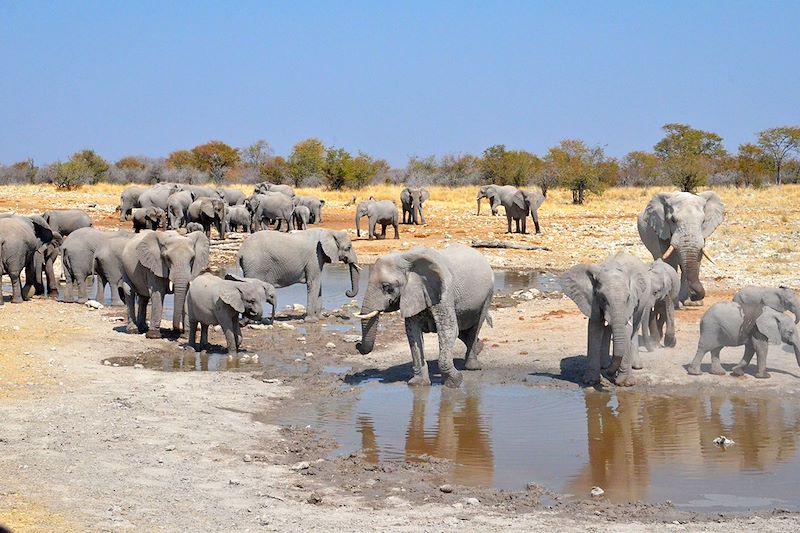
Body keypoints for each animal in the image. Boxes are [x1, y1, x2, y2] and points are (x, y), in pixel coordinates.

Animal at [354, 244, 494, 386]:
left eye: (387, 287)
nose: (357, 345)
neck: (407, 258)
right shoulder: (413, 293)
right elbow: (413, 333)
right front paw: (418, 384)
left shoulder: (444, 292)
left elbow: (448, 330)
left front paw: (454, 382)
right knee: (462, 328)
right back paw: (479, 347)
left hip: (488, 294)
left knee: (475, 326)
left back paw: (473, 366)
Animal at [560, 251, 652, 384]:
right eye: (603, 298)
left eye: (628, 298)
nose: (609, 373)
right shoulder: (592, 300)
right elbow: (594, 327)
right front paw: (590, 381)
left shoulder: (631, 302)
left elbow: (626, 329)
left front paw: (624, 383)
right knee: (608, 329)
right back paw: (605, 365)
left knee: (635, 326)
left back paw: (636, 366)